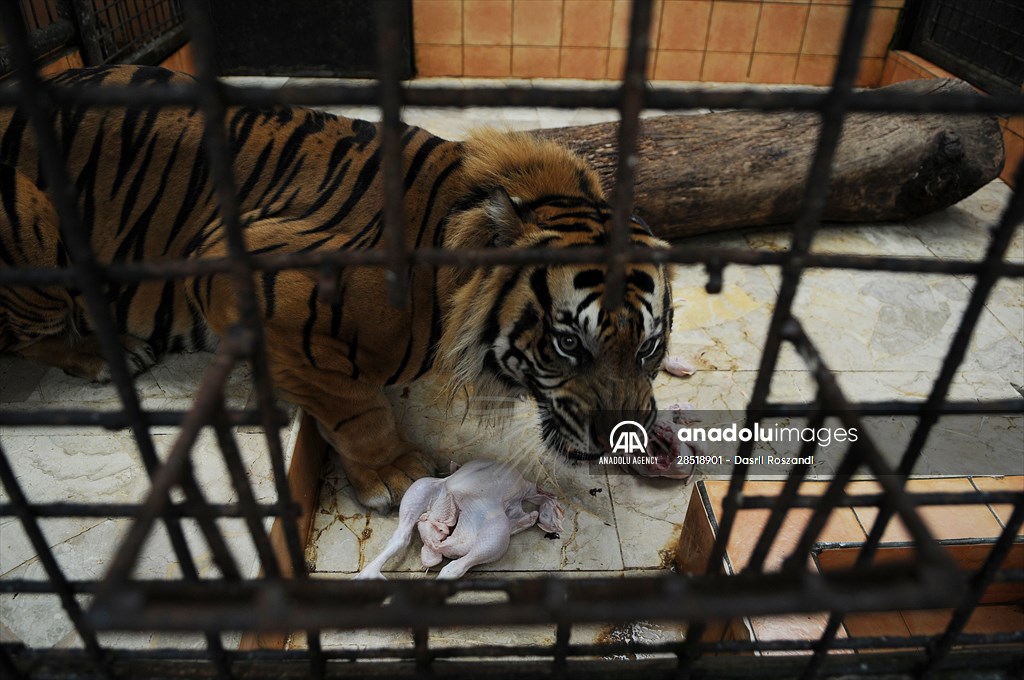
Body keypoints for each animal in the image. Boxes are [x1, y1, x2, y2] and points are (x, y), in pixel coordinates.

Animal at [2, 65, 671, 510]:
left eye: (648, 348)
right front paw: (394, 471)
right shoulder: (245, 274)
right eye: (568, 345)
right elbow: (352, 403)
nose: (623, 438)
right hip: (32, 223)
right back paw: (99, 352)